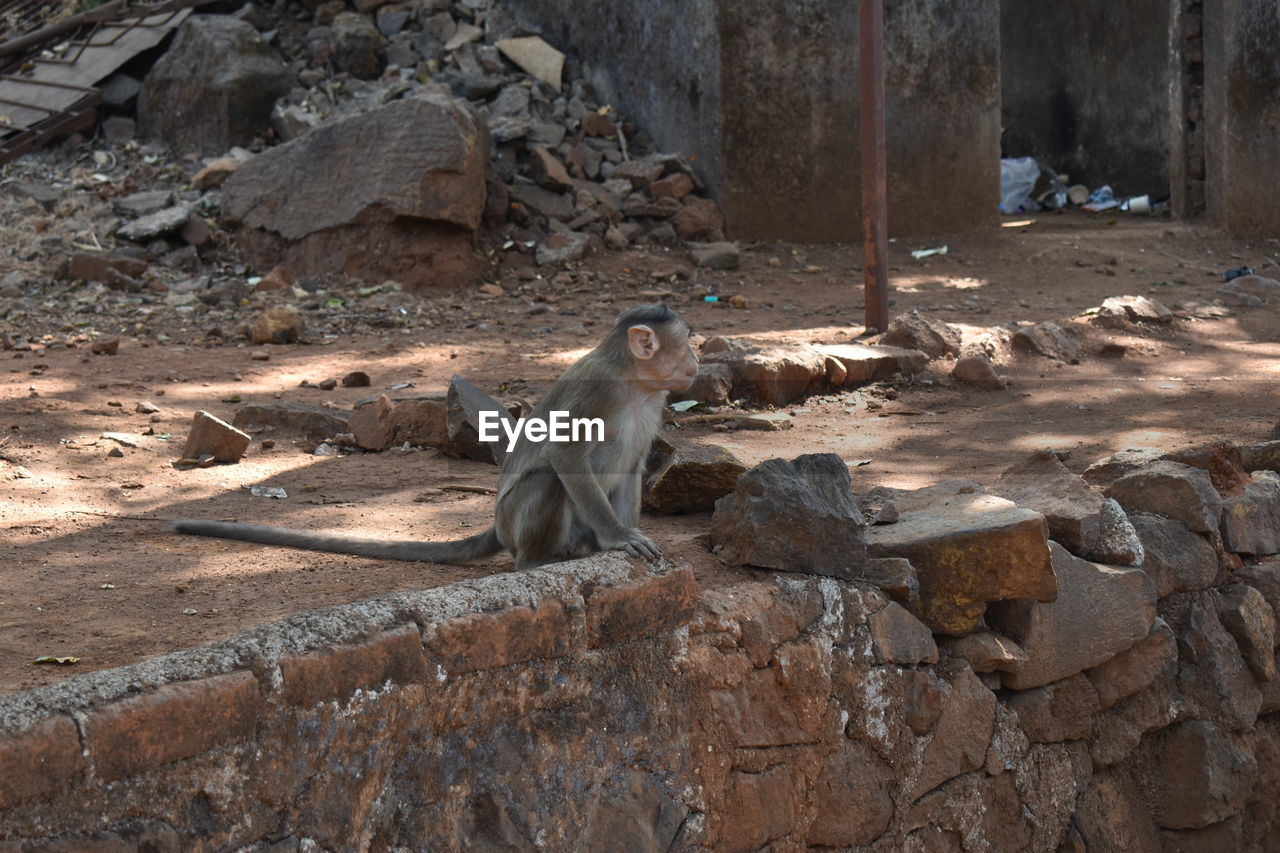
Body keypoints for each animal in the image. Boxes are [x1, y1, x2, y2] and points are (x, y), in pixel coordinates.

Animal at [173, 303, 699, 571]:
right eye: (687, 342)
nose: (696, 360)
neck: (633, 383)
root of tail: (501, 530)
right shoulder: (598, 390)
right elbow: (565, 454)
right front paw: (618, 538)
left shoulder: (653, 402)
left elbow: (633, 467)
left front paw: (631, 536)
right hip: (516, 524)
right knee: (547, 480)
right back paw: (540, 561)